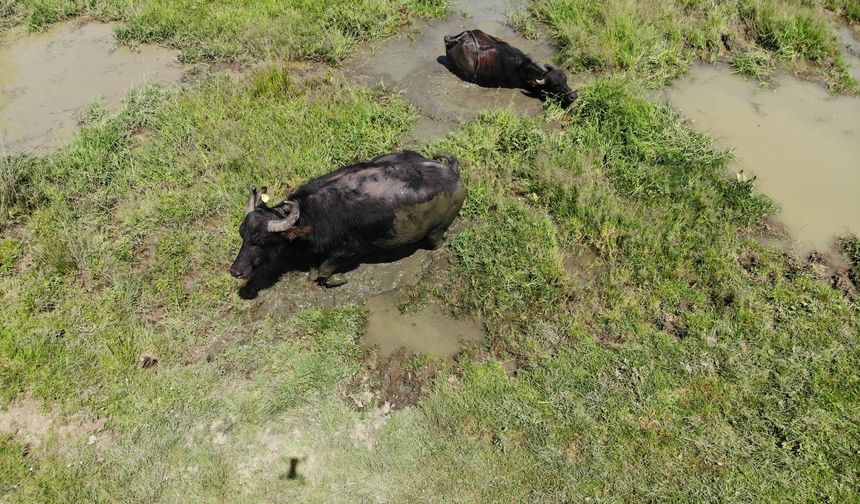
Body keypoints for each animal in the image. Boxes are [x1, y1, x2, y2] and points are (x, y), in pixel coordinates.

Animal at [230, 150, 464, 288]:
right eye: (242, 234)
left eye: (260, 241)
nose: (235, 271)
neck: (309, 216)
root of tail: (451, 170)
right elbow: (314, 270)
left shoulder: (345, 252)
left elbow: (324, 270)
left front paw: (338, 279)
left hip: (436, 231)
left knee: (436, 241)